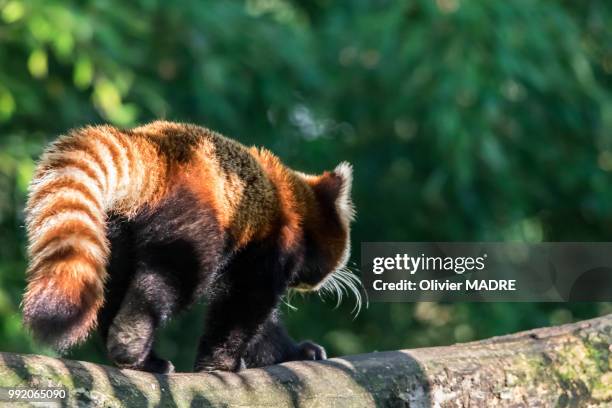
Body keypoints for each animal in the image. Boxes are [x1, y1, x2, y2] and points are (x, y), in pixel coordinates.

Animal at [22, 121, 358, 372]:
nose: (326, 281)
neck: (295, 202)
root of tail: (155, 150)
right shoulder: (268, 243)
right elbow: (244, 303)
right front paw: (221, 363)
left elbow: (262, 322)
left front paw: (295, 352)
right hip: (192, 220)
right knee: (169, 278)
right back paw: (131, 341)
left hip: (116, 230)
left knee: (113, 284)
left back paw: (143, 360)